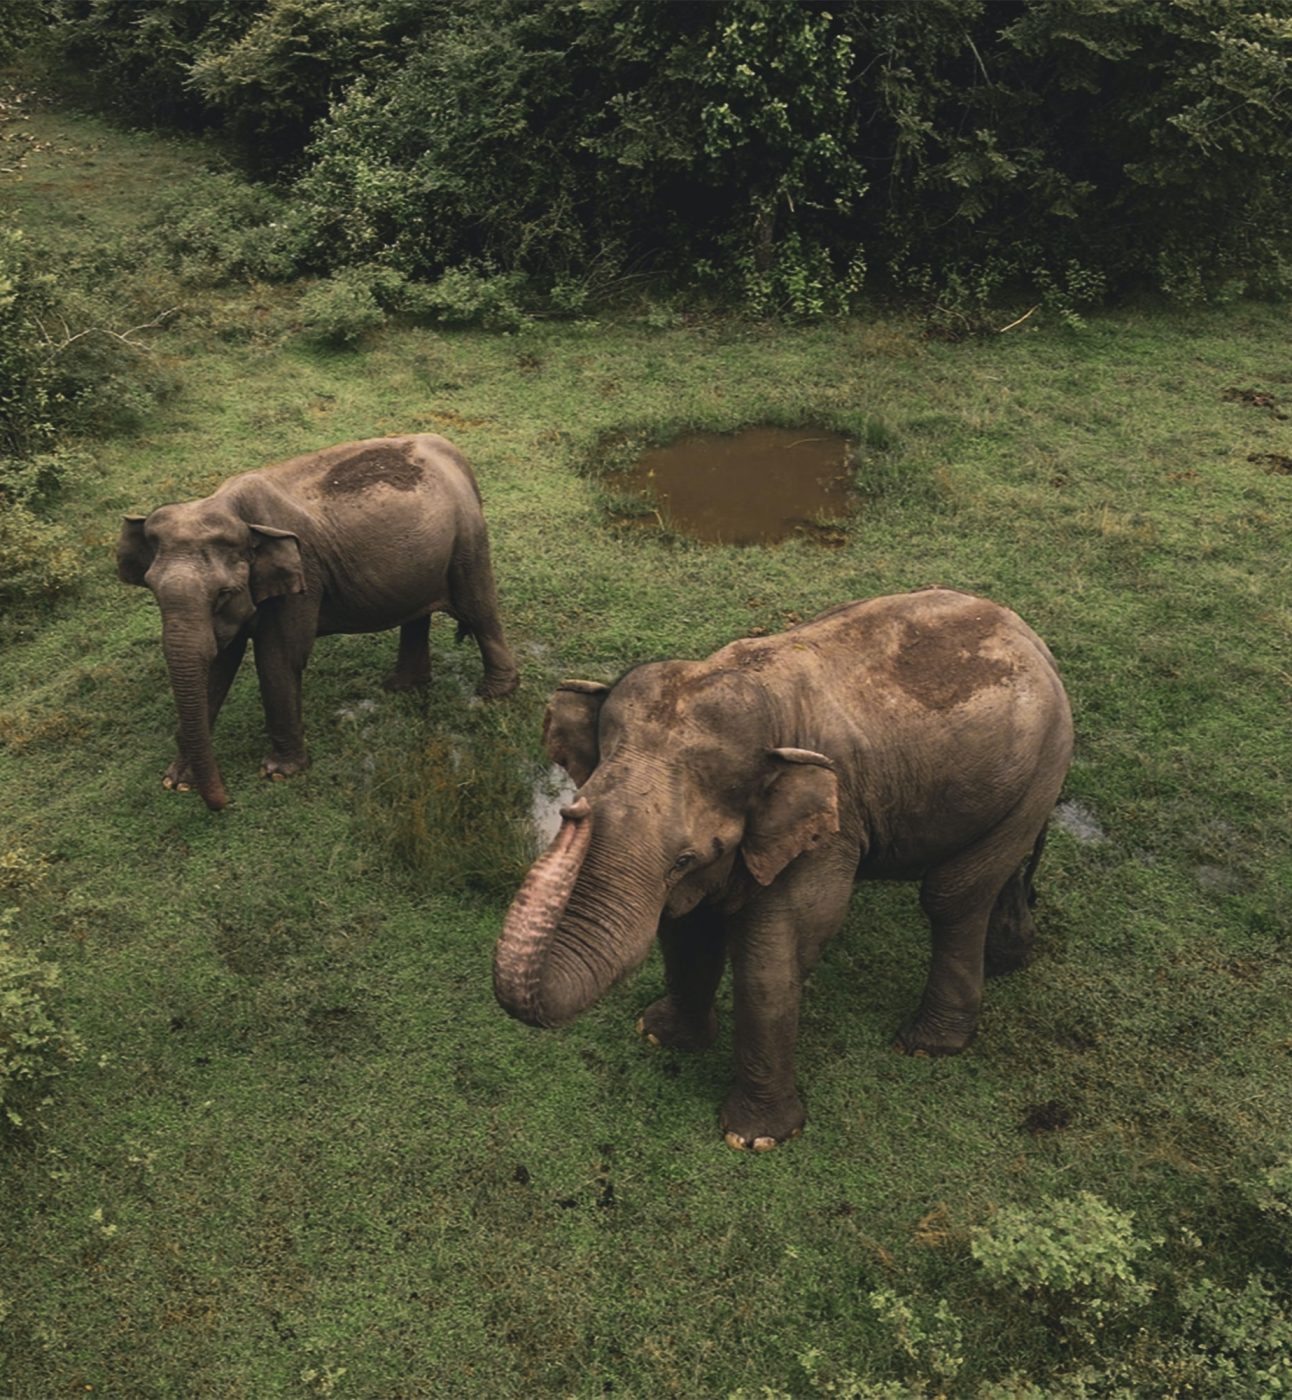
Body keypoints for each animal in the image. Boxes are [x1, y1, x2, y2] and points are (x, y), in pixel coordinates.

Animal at [116, 428, 517, 812]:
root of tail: (451, 450)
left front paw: (279, 774)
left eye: (224, 593)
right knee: (419, 615)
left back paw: (492, 695)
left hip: (467, 540)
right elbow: (218, 663)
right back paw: (402, 686)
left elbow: (279, 657)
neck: (231, 508)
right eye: (152, 589)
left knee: (479, 609)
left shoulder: (303, 575)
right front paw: (176, 781)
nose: (225, 802)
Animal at [492, 588, 1069, 1148]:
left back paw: (926, 1045)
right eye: (578, 801)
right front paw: (660, 1036)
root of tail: (1030, 636)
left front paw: (755, 1138)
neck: (759, 690)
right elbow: (687, 931)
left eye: (685, 858)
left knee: (952, 895)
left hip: (1042, 765)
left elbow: (773, 958)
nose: (573, 814)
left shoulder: (831, 828)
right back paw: (1007, 959)